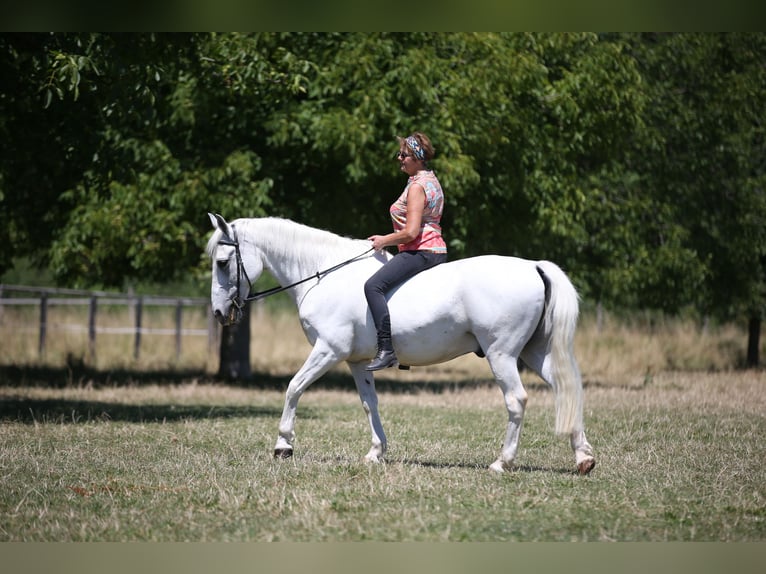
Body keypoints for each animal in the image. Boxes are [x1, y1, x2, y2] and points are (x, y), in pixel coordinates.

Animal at [207, 216, 596, 476]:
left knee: (516, 400)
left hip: (502, 355)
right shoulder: (357, 362)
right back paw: (583, 459)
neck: (324, 274)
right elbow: (370, 404)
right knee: (565, 389)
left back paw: (502, 462)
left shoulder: (328, 351)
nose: (220, 313)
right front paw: (376, 452)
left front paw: (283, 446)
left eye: (222, 262)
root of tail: (533, 266)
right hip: (534, 352)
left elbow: (293, 388)